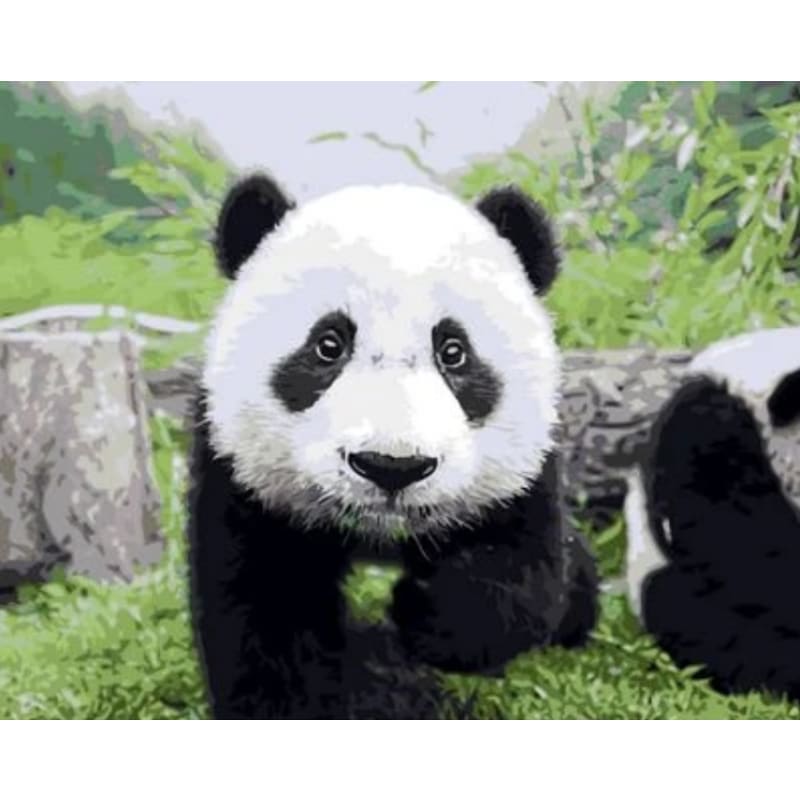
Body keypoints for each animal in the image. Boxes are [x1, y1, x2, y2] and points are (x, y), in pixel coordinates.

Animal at [187, 172, 599, 719]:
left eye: (454, 351)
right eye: (328, 345)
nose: (391, 467)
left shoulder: (525, 475)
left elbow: (521, 574)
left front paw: (430, 612)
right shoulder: (242, 478)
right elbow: (265, 615)